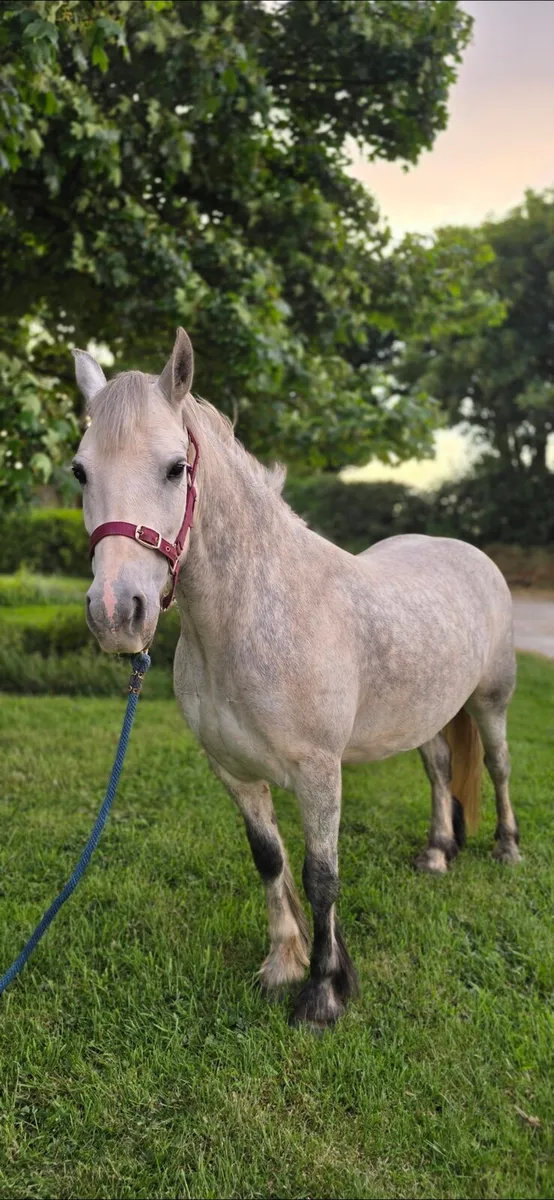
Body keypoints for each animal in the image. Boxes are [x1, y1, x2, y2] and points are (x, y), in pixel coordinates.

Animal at [72, 328, 521, 1030]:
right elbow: (270, 860)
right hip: (425, 716)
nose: (117, 613)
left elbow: (320, 877)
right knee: (440, 770)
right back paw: (437, 852)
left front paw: (322, 994)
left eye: (175, 467)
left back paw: (505, 847)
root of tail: (468, 551)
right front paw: (284, 963)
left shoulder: (319, 774)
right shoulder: (233, 770)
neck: (252, 620)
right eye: (80, 470)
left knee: (498, 767)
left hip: (491, 701)